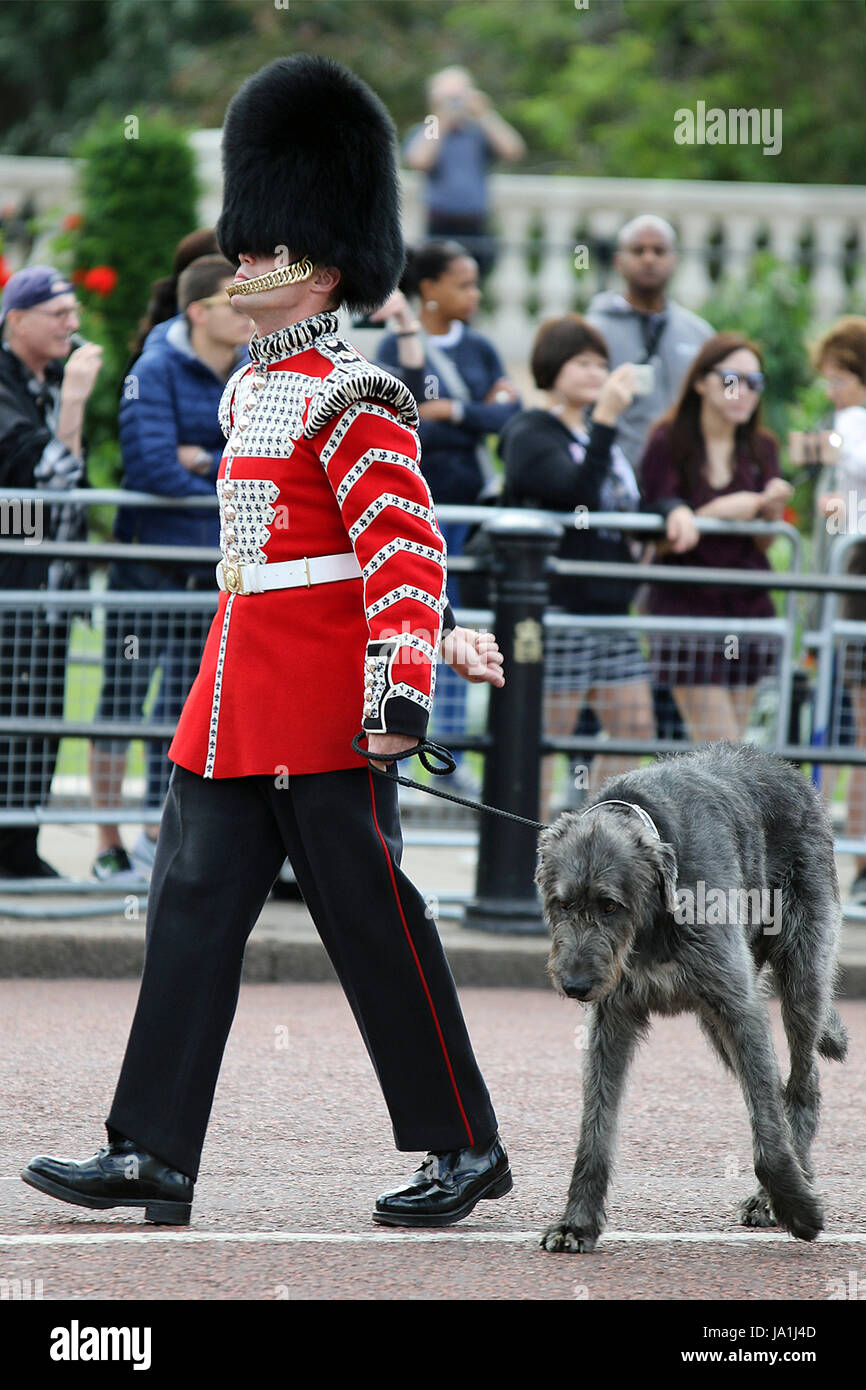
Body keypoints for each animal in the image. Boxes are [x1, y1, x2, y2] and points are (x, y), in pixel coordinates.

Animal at [539, 745, 850, 1256]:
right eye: (563, 904)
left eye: (610, 905)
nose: (574, 985)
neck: (652, 923)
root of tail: (786, 768)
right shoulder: (612, 1020)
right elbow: (595, 1127)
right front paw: (577, 1222)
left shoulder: (739, 1006)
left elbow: (767, 1133)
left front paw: (798, 1208)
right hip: (717, 1025)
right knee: (778, 1086)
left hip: (801, 976)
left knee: (801, 1086)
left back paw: (778, 1192)